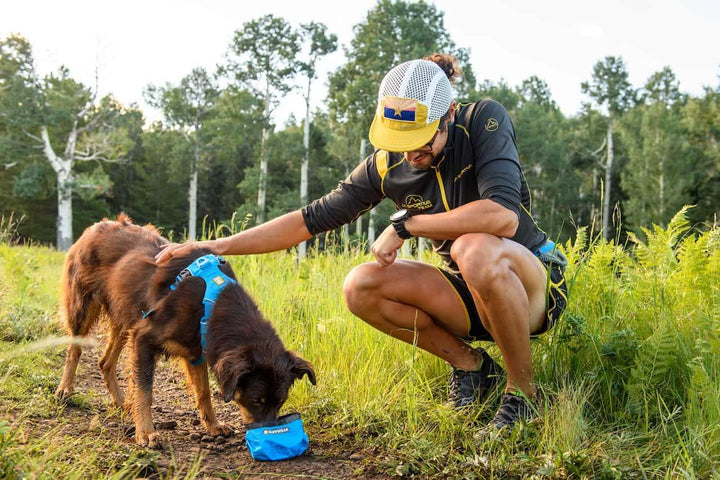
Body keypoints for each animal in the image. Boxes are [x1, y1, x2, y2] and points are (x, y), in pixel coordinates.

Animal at [54, 216, 314, 448]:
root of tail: (96, 226)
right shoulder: (144, 338)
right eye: (256, 400)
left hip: (125, 318)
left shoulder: (196, 351)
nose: (270, 435)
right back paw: (65, 389)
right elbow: (145, 391)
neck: (213, 302)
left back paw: (122, 403)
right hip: (83, 307)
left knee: (105, 362)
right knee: (74, 350)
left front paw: (213, 426)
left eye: (280, 402)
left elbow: (204, 393)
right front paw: (146, 432)